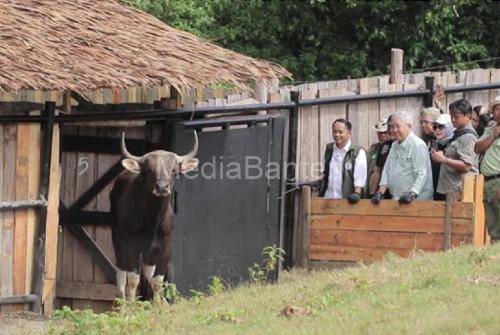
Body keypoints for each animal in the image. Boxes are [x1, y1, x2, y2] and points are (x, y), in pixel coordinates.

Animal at [110, 131, 198, 300]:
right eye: (149, 170)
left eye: (174, 170)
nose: (162, 187)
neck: (152, 220)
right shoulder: (131, 246)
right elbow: (133, 280)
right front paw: (131, 304)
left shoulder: (165, 247)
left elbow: (157, 280)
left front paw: (158, 304)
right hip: (117, 239)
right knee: (121, 275)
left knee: (148, 273)